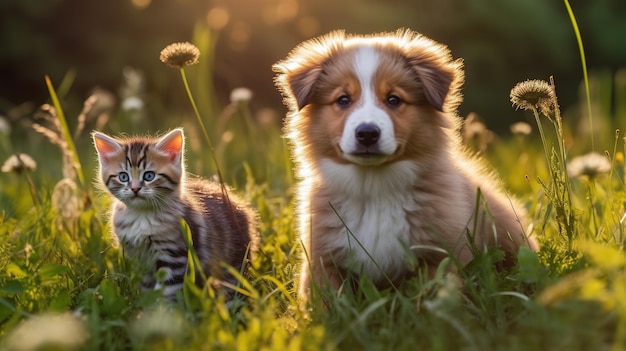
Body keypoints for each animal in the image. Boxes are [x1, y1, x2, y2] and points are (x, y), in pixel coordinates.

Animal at [92, 128, 258, 302]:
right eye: (123, 177)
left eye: (149, 176)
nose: (135, 188)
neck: (142, 215)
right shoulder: (139, 259)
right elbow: (147, 289)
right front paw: (148, 306)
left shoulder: (174, 255)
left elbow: (168, 290)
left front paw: (165, 309)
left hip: (235, 260)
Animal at [272, 28, 536, 304]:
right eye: (343, 100)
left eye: (393, 99)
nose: (367, 133)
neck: (374, 188)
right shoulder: (322, 259)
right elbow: (327, 301)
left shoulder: (442, 253)